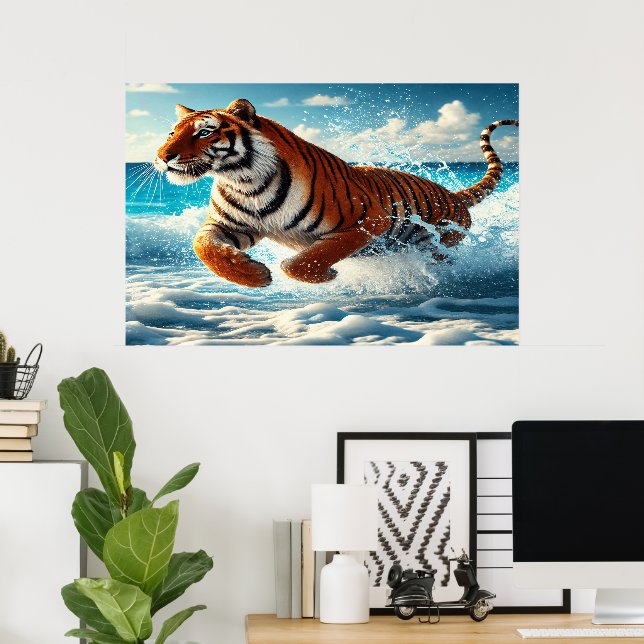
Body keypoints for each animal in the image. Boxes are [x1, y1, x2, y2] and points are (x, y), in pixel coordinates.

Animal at [154, 99, 518, 288]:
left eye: (204, 132)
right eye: (172, 132)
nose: (162, 156)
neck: (244, 180)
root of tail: (455, 195)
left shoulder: (368, 220)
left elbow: (308, 259)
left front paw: (324, 273)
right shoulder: (229, 225)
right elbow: (204, 247)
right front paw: (252, 274)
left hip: (438, 244)